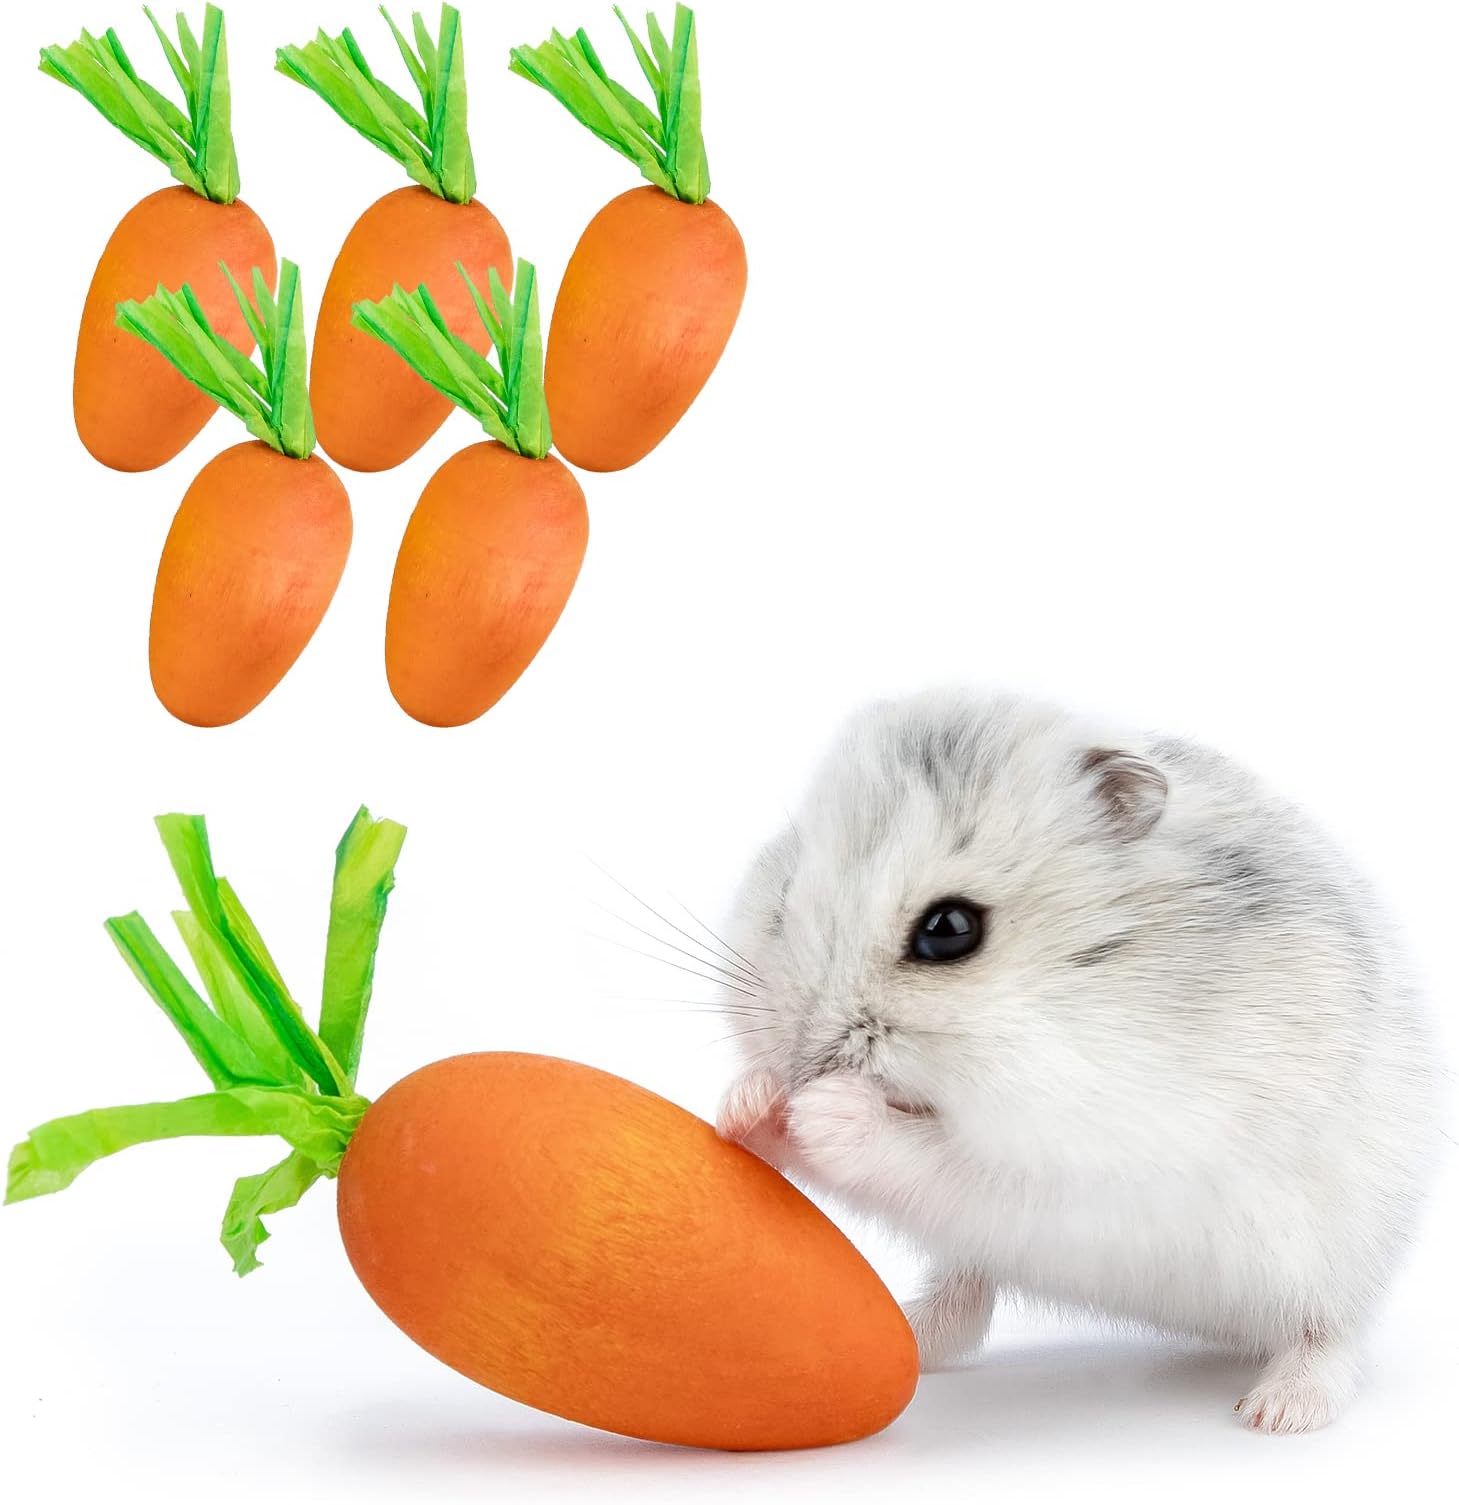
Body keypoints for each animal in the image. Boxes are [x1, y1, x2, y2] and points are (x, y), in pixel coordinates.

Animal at [716, 690, 1439, 1434]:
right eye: (784, 894)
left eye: (950, 929)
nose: (802, 1064)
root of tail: (1213, 1327)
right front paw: (751, 1100)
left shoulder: (1080, 1154)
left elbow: (931, 1156)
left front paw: (823, 1107)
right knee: (964, 1307)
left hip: (1337, 1265)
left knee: (1331, 1333)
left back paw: (1275, 1411)